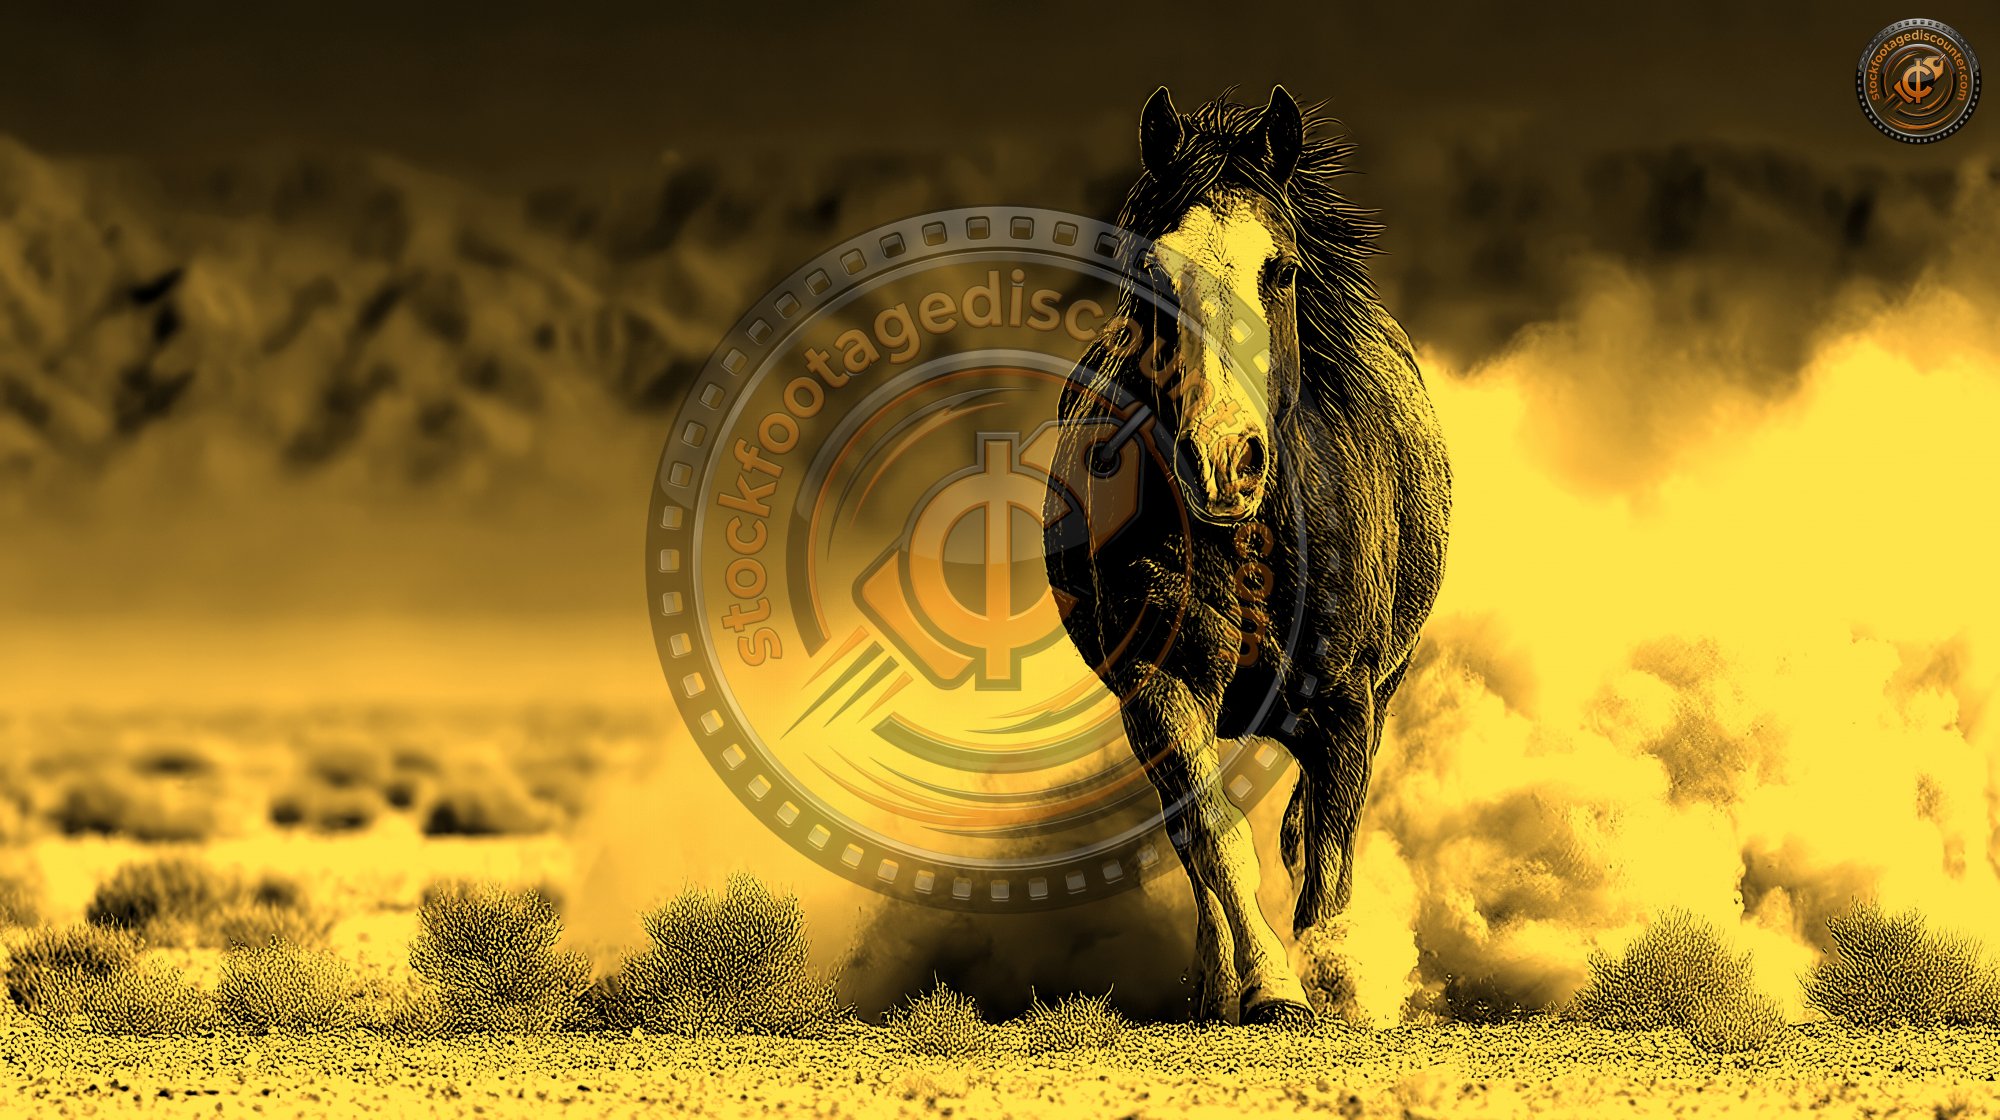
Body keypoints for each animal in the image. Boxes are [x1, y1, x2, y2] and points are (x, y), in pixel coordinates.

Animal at [1042, 85, 1450, 1027]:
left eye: (1282, 269)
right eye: (1151, 273)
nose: (1225, 460)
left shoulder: (1346, 703)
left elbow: (1327, 857)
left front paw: (1341, 988)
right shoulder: (1158, 687)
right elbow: (1217, 837)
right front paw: (1270, 987)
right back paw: (1213, 985)